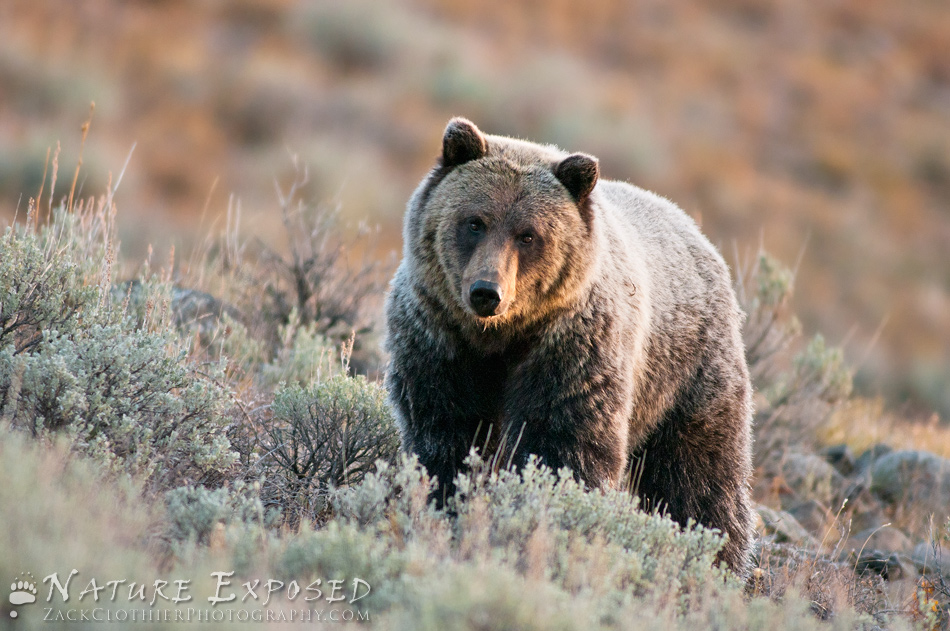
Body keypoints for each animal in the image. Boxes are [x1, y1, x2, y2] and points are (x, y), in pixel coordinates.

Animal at [384, 117, 754, 574]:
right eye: (474, 221)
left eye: (528, 235)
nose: (487, 292)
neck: (500, 337)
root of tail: (696, 230)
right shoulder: (439, 339)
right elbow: (443, 433)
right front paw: (444, 502)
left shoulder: (572, 351)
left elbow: (562, 446)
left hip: (689, 372)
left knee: (700, 476)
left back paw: (717, 556)